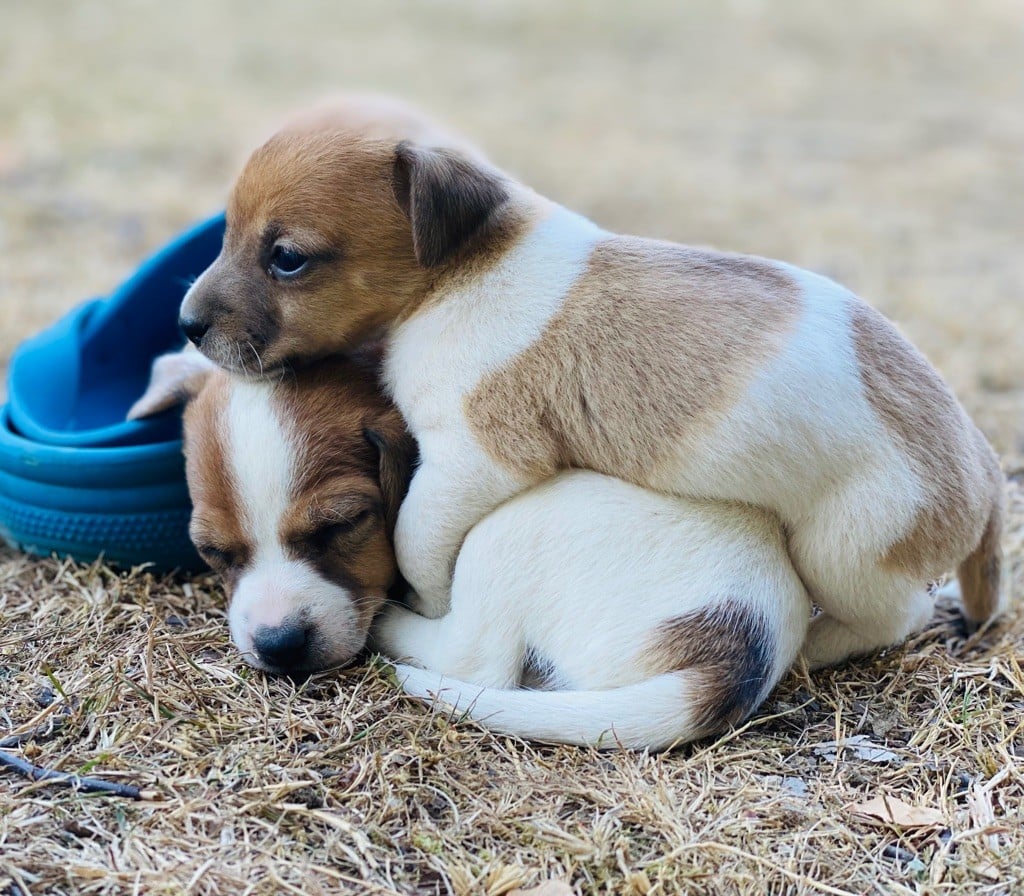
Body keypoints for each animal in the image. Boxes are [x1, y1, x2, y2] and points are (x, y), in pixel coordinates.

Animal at [178, 101, 1007, 667]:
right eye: (225, 232)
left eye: (286, 257)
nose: (185, 325)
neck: (461, 269)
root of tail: (987, 466)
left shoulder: (471, 459)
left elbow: (415, 538)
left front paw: (426, 599)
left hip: (849, 550)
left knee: (892, 618)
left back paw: (815, 640)